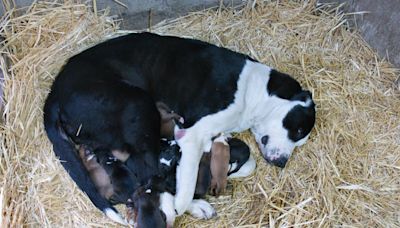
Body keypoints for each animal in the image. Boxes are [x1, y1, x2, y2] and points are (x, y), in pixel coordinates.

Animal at [43, 33, 316, 224]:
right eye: (297, 130)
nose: (282, 163)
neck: (254, 92)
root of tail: (54, 92)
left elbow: (246, 164)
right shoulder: (191, 134)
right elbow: (186, 180)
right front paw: (184, 204)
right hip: (138, 103)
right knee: (147, 174)